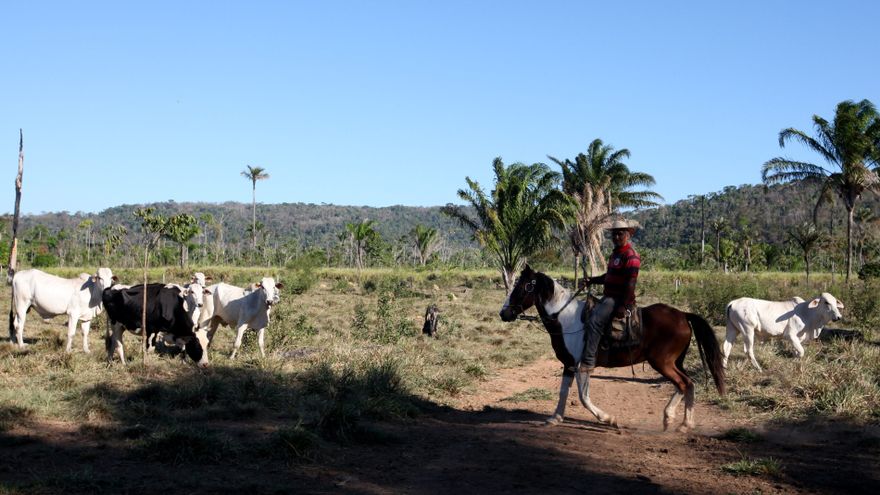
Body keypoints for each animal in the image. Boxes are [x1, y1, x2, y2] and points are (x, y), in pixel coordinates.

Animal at [498, 266, 724, 432]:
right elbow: (563, 392)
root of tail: (683, 315)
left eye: (522, 287)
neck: (565, 319)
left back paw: (679, 423)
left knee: (684, 383)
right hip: (675, 362)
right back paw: (678, 421)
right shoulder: (569, 365)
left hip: (663, 362)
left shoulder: (582, 365)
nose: (503, 313)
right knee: (687, 384)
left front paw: (609, 419)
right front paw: (555, 418)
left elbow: (584, 397)